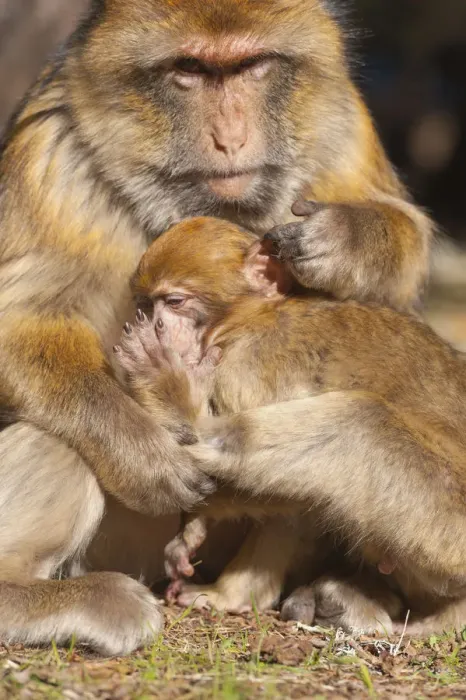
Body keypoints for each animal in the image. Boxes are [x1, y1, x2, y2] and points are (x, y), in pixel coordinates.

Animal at [114, 215, 466, 635]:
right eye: (145, 304)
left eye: (174, 302)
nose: (156, 326)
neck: (249, 319)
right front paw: (191, 530)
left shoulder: (248, 367)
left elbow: (291, 497)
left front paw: (199, 515)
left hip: (446, 522)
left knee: (358, 422)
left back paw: (180, 410)